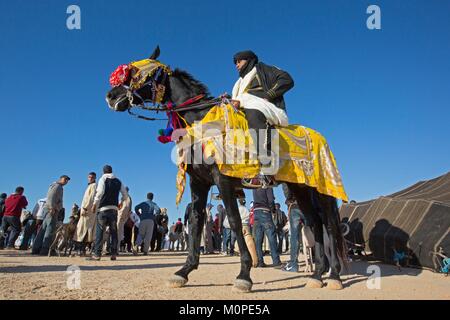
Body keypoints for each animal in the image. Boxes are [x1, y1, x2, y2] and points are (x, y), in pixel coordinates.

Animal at [106, 46, 348, 292]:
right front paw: (184, 271)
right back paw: (317, 275)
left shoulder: (222, 181)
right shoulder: (199, 183)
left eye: (136, 74)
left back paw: (335, 276)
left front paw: (244, 275)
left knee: (329, 225)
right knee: (315, 223)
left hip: (321, 190)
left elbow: (233, 220)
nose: (111, 96)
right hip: (300, 189)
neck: (200, 120)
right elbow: (196, 222)